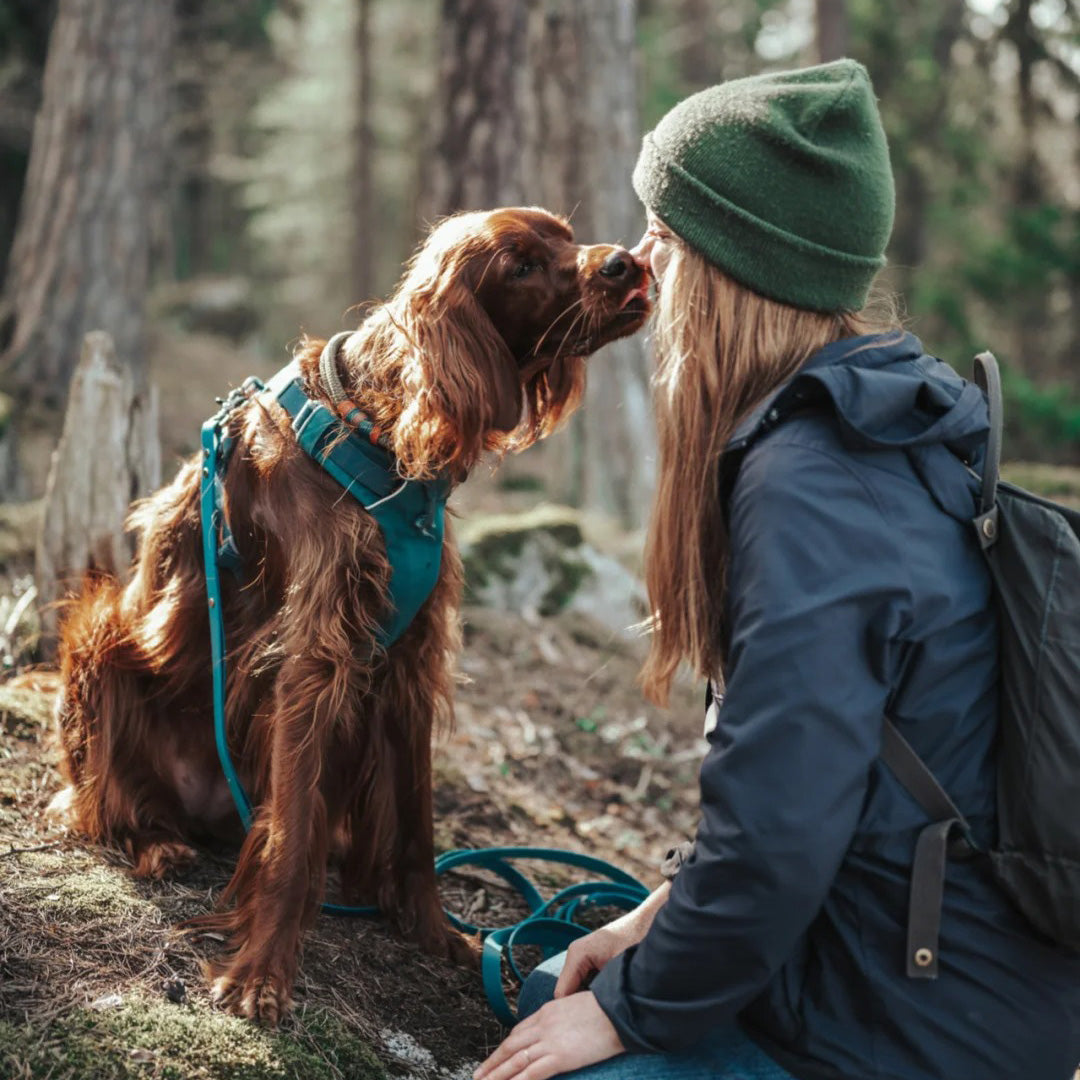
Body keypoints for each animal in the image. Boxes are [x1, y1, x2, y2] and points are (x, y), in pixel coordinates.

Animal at [52, 208, 648, 1019]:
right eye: (521, 265)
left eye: (565, 234)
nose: (626, 264)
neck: (376, 433)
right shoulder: (317, 655)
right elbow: (292, 838)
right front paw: (262, 974)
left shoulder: (408, 660)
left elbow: (418, 826)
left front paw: (437, 934)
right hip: (99, 637)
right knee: (100, 801)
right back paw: (155, 842)